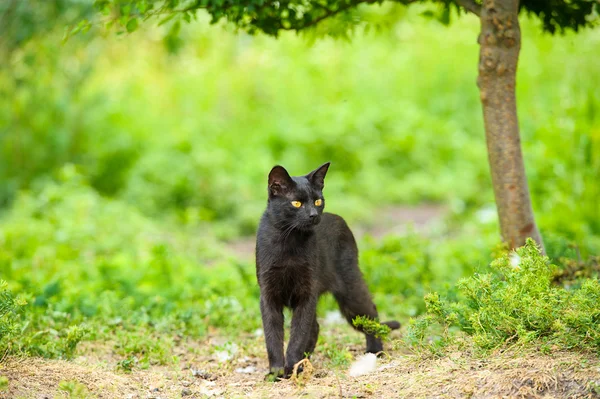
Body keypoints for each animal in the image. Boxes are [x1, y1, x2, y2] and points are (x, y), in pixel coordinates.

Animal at [253, 163, 398, 382]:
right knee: (315, 328)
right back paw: (305, 362)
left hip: (350, 290)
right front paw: (277, 372)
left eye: (318, 201)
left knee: (370, 312)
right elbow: (273, 335)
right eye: (296, 203)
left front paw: (291, 368)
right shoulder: (268, 294)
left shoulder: (307, 292)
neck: (289, 242)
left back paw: (375, 351)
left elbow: (298, 334)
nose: (314, 214)